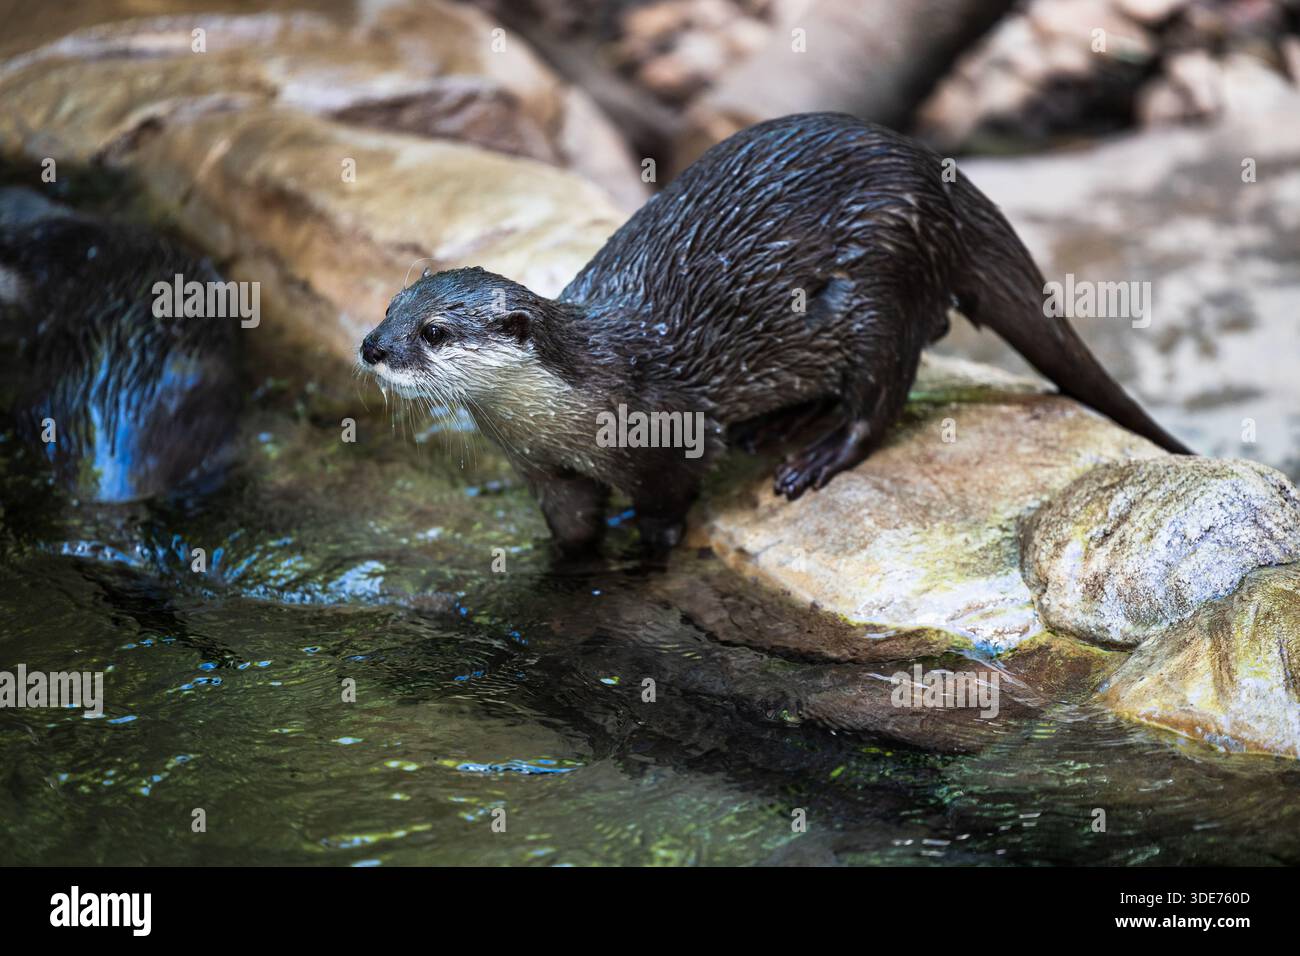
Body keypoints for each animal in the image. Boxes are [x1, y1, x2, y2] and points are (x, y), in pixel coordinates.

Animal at [360, 112, 1190, 554]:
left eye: (433, 331)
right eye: (391, 307)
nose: (372, 348)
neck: (571, 407)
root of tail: (935, 178)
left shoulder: (662, 436)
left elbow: (668, 502)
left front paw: (649, 549)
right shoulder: (544, 471)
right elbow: (571, 530)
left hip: (880, 284)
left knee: (884, 392)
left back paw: (816, 456)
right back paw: (776, 424)